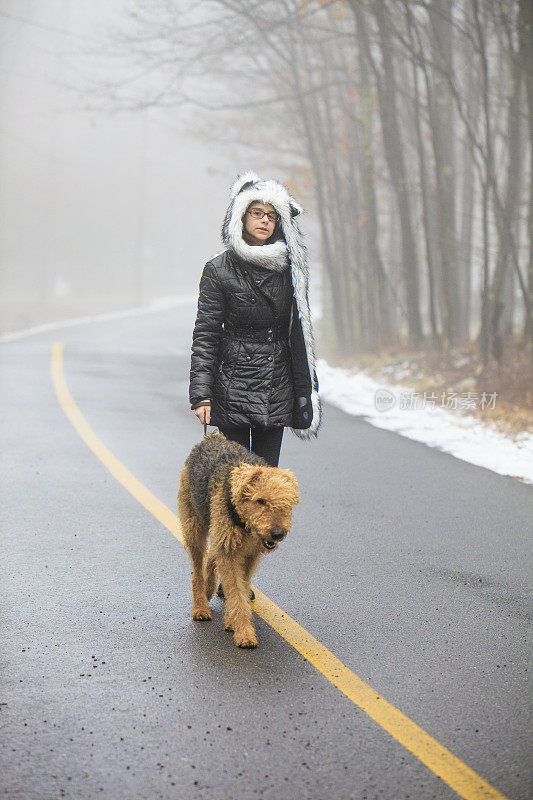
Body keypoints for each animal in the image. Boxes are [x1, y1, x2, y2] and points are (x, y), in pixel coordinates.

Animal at [179, 434, 300, 648]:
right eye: (260, 500)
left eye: (287, 502)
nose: (277, 534)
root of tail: (211, 437)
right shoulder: (229, 553)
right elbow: (236, 593)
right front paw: (244, 634)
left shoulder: (249, 554)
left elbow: (240, 589)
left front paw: (231, 621)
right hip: (194, 527)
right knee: (197, 571)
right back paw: (200, 608)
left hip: (218, 534)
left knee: (211, 557)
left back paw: (209, 589)